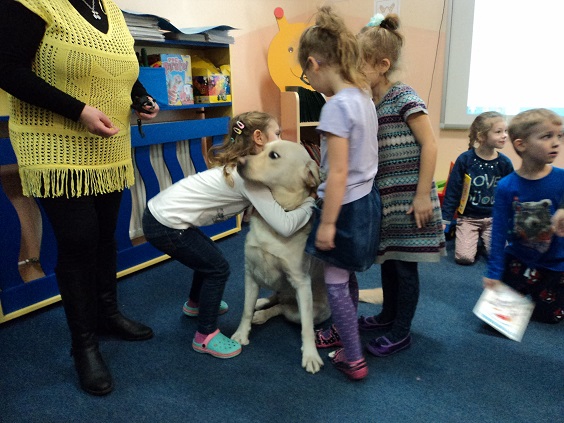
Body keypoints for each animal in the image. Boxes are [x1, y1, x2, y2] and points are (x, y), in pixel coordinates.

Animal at [231, 140, 330, 374]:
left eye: (273, 155)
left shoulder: (302, 283)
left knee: (283, 309)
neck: (277, 215)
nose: (238, 161)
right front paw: (241, 333)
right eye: (262, 149)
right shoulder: (250, 273)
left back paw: (263, 313)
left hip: (309, 309)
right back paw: (260, 304)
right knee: (275, 299)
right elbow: (245, 310)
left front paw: (310, 355)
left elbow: (307, 328)